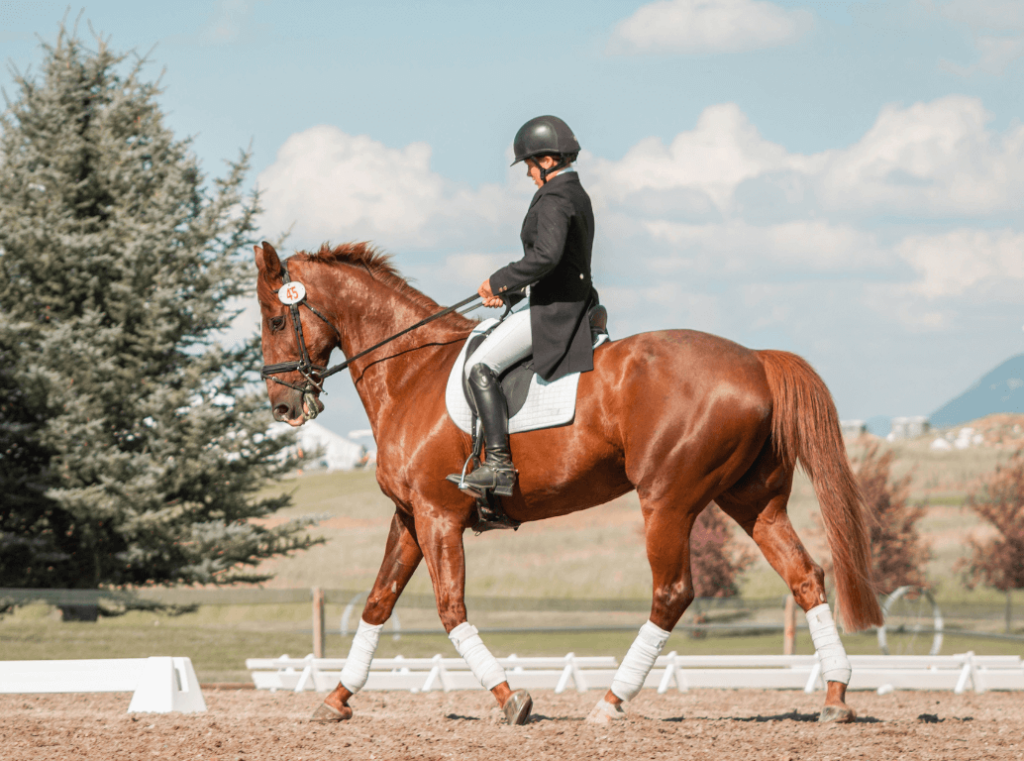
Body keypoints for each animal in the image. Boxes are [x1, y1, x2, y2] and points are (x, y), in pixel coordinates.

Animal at [254, 239, 883, 726]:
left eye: (276, 319)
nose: (283, 407)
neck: (411, 371)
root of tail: (755, 360)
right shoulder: (410, 516)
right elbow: (379, 601)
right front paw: (336, 700)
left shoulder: (438, 516)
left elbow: (450, 609)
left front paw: (511, 699)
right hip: (753, 501)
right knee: (805, 576)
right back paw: (835, 696)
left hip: (667, 501)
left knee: (672, 593)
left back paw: (610, 702)